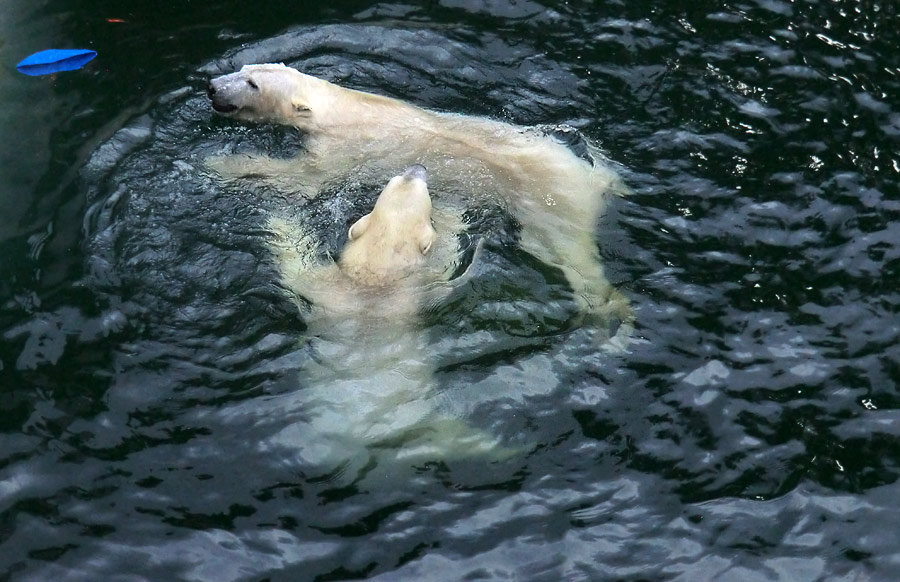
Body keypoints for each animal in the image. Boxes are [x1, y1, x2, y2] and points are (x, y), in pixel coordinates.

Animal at [207, 62, 632, 338]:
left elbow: (300, 178)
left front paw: (220, 163)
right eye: (243, 67)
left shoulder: (341, 151)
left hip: (550, 204)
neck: (339, 107)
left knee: (569, 255)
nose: (212, 85)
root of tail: (593, 182)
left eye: (252, 84)